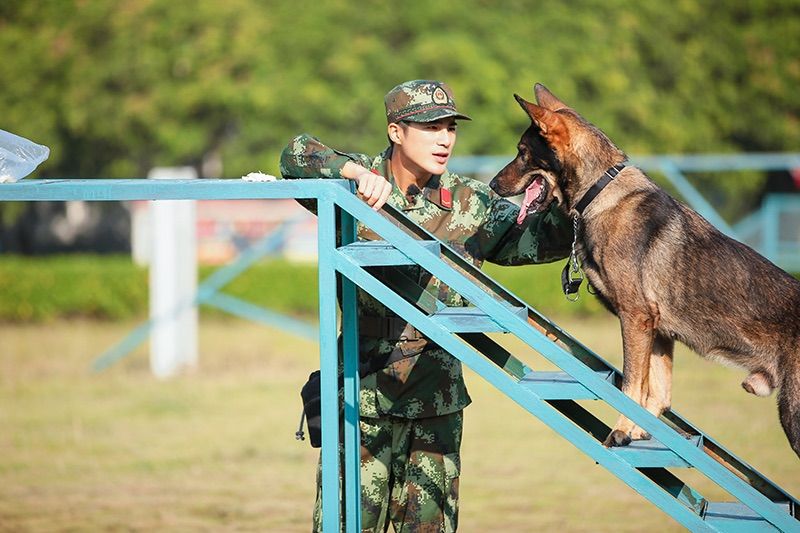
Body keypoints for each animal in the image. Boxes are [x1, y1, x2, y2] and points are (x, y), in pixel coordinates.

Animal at [488, 83, 800, 458]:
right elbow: (658, 395)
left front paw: (622, 430)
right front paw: (637, 431)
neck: (600, 192)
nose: (492, 185)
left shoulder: (635, 318)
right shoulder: (659, 332)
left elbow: (631, 386)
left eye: (522, 152)